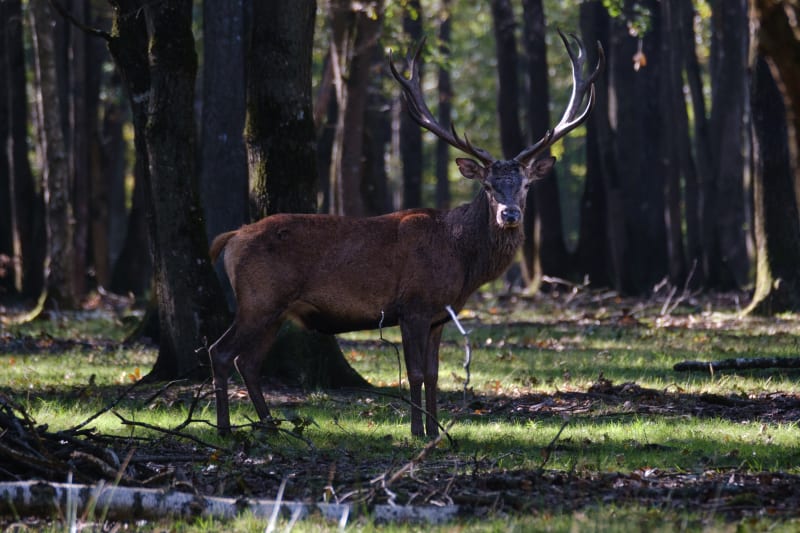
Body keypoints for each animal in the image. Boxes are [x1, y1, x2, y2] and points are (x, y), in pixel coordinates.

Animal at [209, 30, 604, 436]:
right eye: (489, 186)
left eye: (525, 185)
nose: (509, 214)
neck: (461, 261)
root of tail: (230, 239)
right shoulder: (413, 305)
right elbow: (413, 372)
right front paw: (417, 431)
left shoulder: (439, 315)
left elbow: (432, 374)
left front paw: (435, 429)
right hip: (260, 299)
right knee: (220, 352)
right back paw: (224, 428)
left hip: (276, 310)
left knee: (247, 362)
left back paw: (269, 426)